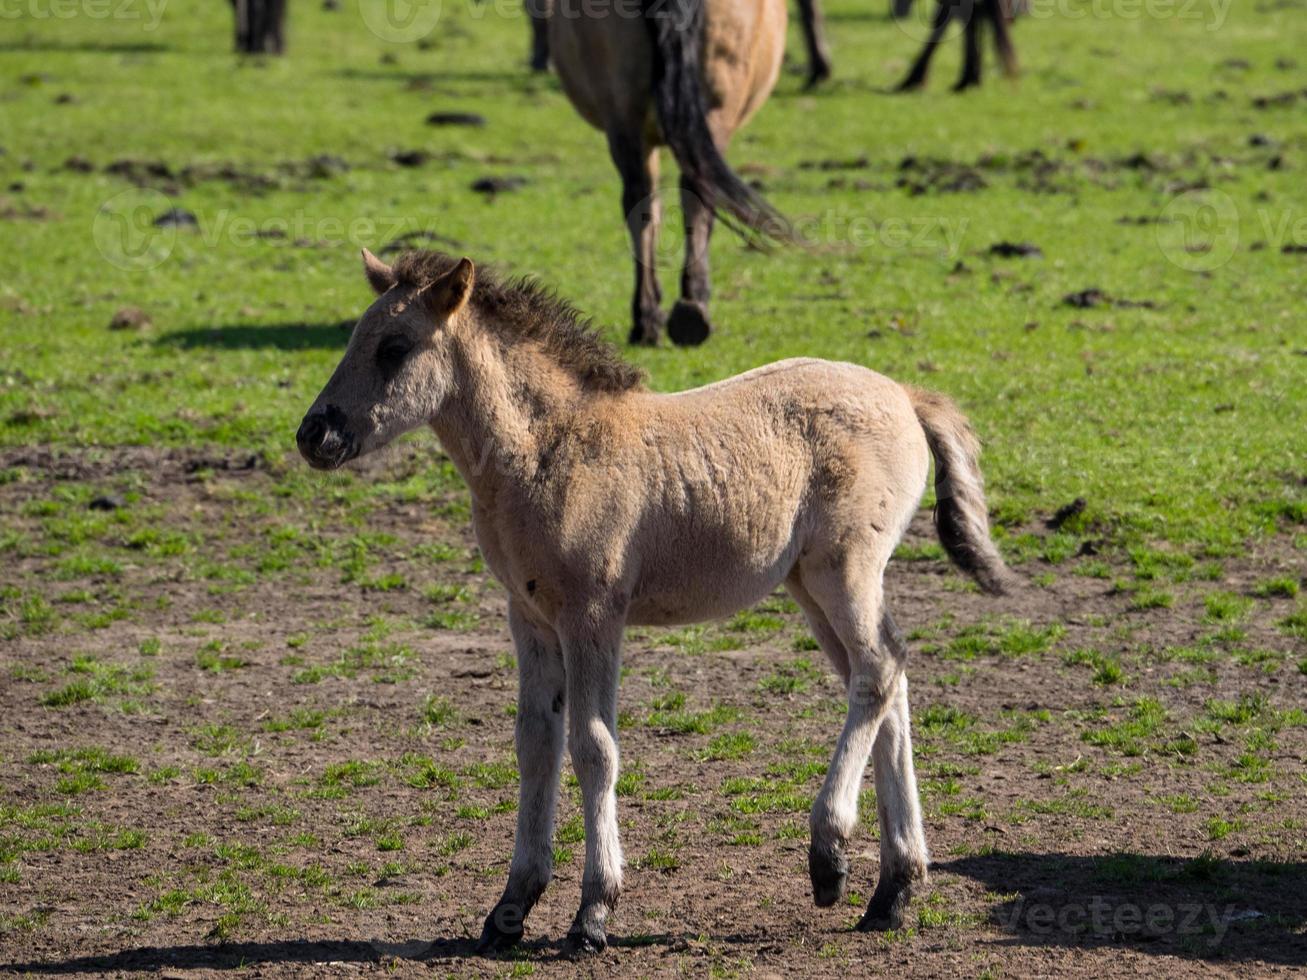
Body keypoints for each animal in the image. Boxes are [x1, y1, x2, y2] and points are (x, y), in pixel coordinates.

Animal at [300, 250, 1014, 961]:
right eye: (354, 337)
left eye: (394, 348)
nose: (314, 434)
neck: (549, 449)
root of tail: (906, 396)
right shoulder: (529, 618)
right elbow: (535, 744)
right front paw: (510, 908)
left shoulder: (593, 615)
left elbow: (593, 747)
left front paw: (593, 911)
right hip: (809, 585)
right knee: (889, 676)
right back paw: (894, 890)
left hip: (843, 570)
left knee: (877, 674)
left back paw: (830, 854)